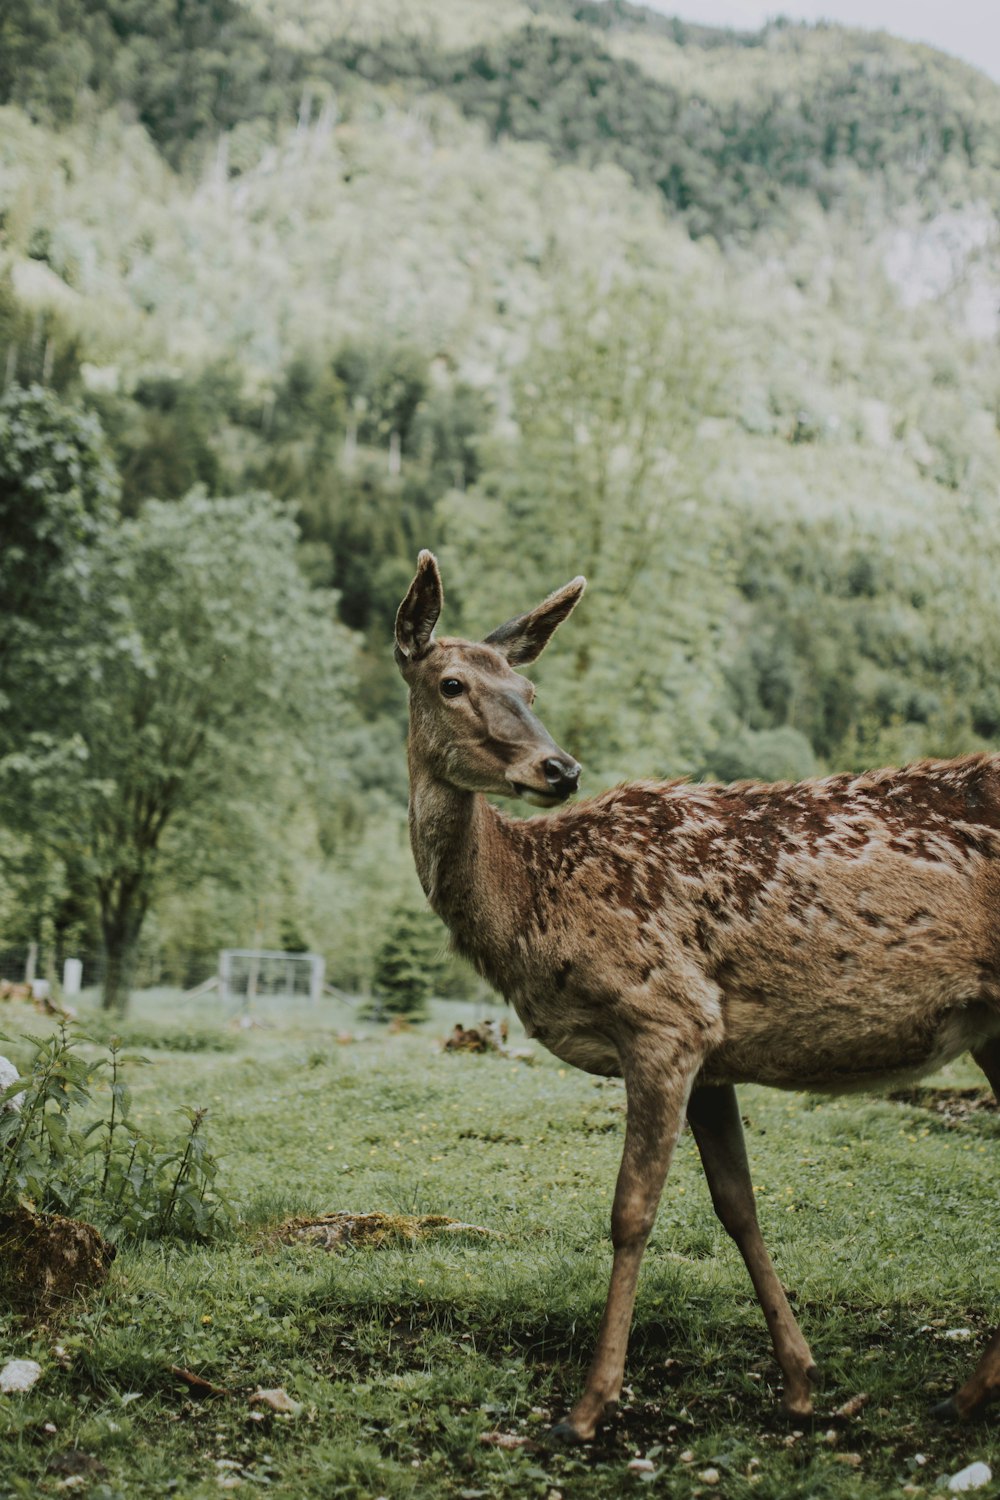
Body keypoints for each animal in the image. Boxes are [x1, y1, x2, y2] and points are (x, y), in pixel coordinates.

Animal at [395, 549, 995, 1440]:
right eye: (451, 683)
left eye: (528, 688)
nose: (560, 768)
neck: (534, 904)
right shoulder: (713, 1054)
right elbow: (737, 1204)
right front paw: (800, 1380)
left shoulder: (664, 1014)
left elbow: (631, 1210)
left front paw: (589, 1404)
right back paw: (964, 1391)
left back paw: (965, 1391)